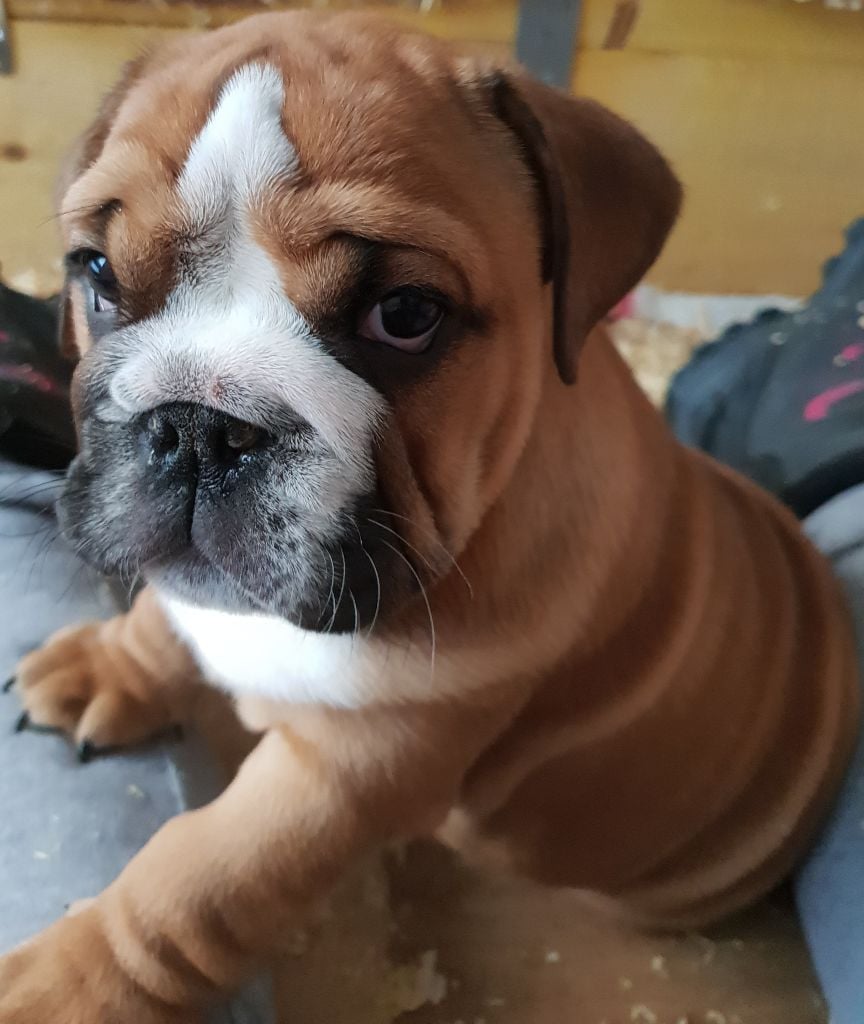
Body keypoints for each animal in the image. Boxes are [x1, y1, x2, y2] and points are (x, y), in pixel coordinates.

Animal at [1, 12, 859, 1021]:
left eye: (406, 314)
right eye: (96, 272)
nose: (199, 426)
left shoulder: (351, 771)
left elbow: (193, 884)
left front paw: (65, 987)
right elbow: (163, 624)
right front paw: (106, 665)